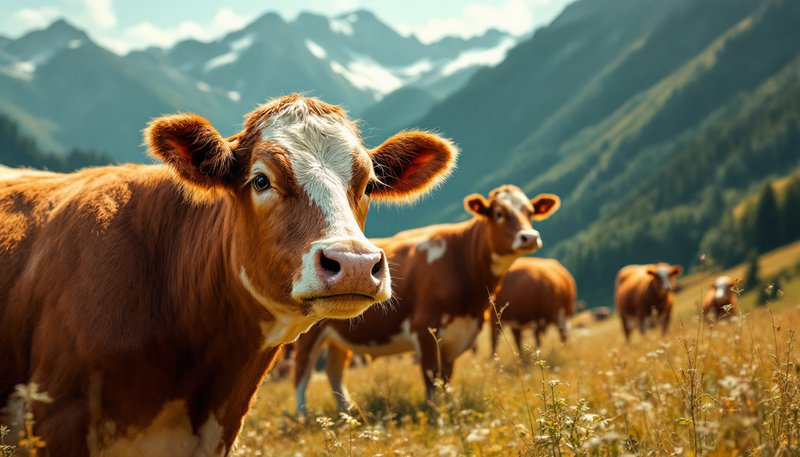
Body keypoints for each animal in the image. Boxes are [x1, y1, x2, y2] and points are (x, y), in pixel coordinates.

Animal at [292, 185, 560, 413]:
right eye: (499, 213)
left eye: (530, 212)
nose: (529, 237)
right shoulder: (425, 327)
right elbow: (431, 378)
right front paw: (434, 415)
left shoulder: (457, 333)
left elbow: (446, 378)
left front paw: (448, 408)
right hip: (309, 334)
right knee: (302, 373)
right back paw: (302, 416)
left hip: (338, 333)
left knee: (334, 370)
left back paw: (348, 410)